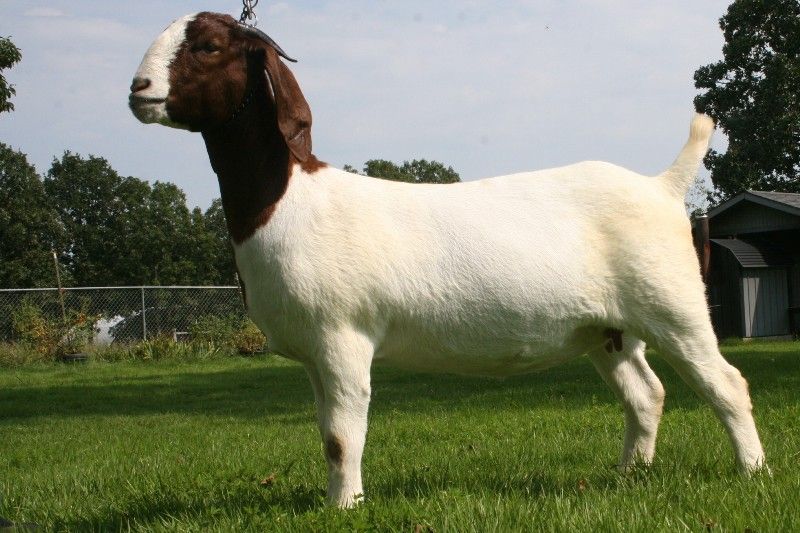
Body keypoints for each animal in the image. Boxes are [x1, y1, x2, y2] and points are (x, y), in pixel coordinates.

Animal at [129, 12, 766, 508]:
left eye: (209, 46)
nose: (138, 88)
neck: (288, 201)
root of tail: (663, 186)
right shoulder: (314, 353)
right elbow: (326, 434)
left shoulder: (341, 338)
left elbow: (342, 435)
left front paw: (344, 506)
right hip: (608, 329)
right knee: (646, 394)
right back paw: (629, 475)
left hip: (672, 304)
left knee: (727, 383)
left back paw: (753, 471)